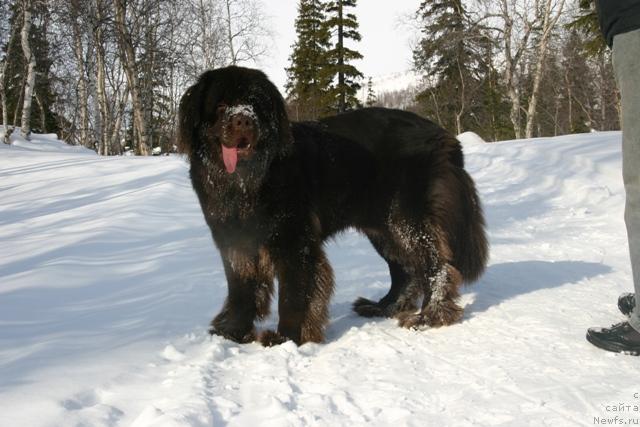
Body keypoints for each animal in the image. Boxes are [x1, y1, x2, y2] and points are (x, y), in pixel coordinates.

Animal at [178, 67, 488, 348]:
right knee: (405, 270)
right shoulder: (234, 242)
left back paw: (429, 316)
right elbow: (241, 289)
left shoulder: (295, 242)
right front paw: (233, 332)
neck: (244, 184)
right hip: (383, 228)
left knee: (436, 266)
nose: (243, 119)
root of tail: (444, 135)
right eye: (220, 105)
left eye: (255, 104)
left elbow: (294, 294)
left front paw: (287, 338)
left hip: (406, 219)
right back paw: (383, 307)